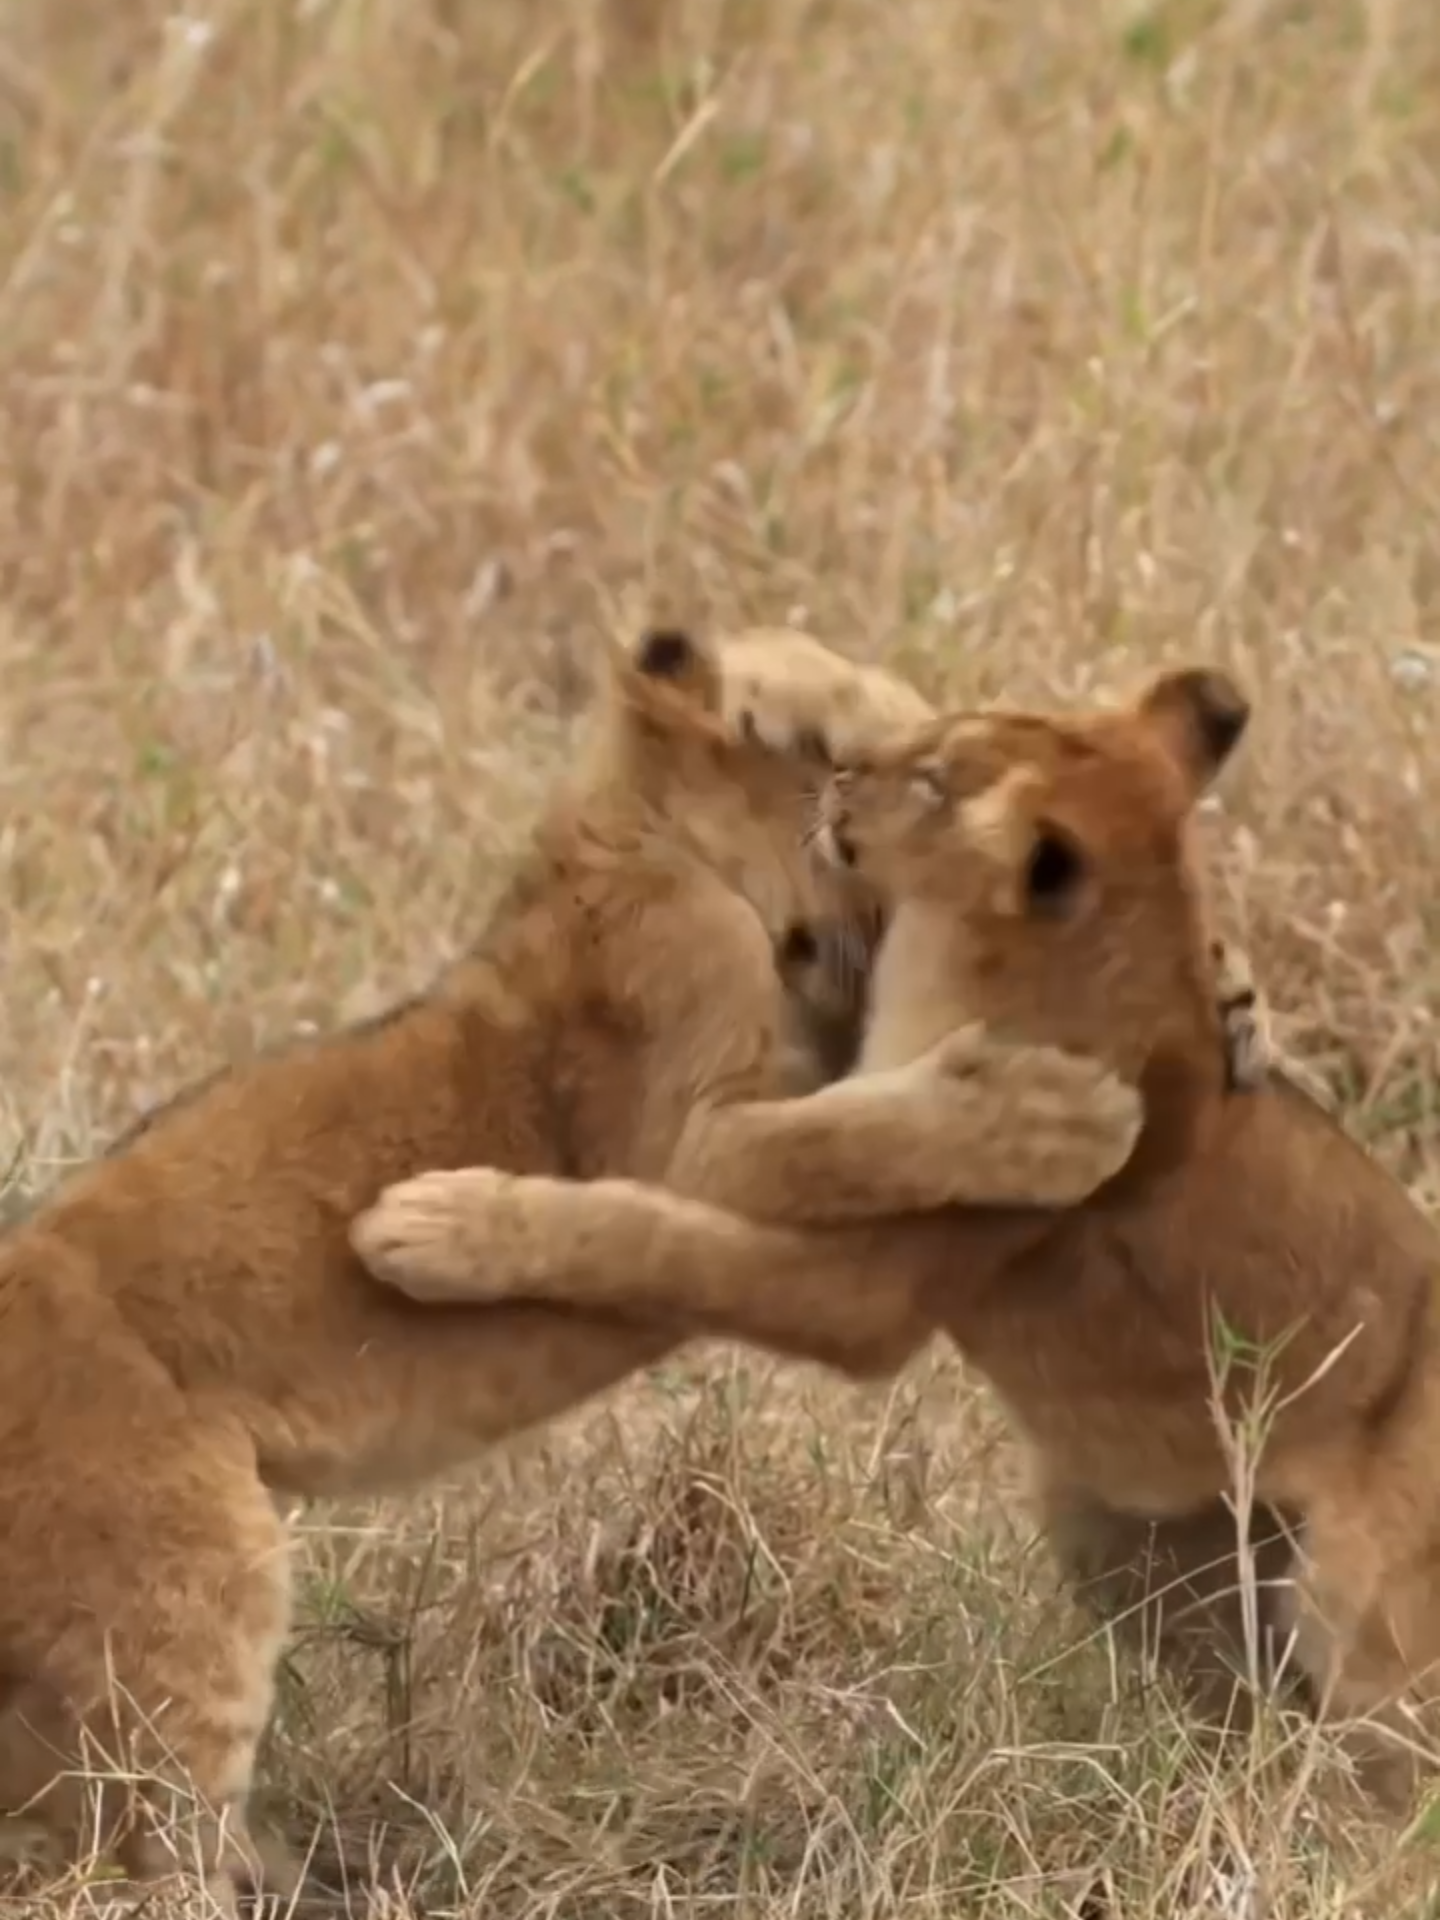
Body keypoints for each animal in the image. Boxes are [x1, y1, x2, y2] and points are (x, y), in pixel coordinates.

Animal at [0, 624, 1157, 1910]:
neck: (646, 830)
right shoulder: (698, 1134)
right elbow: (864, 1126)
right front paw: (1055, 1118)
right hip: (175, 1605)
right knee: (132, 1849)